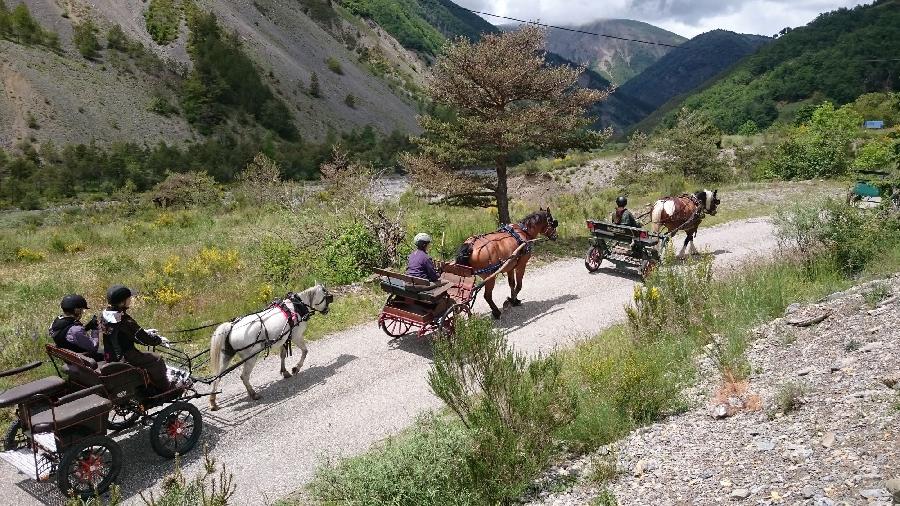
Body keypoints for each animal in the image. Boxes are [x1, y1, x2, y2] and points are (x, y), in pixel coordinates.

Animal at [209, 284, 332, 412]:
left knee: (217, 377)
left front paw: (285, 372)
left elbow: (282, 355)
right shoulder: (296, 336)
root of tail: (231, 327)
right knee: (244, 377)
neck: (296, 306)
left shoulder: (284, 338)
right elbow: (305, 351)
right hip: (251, 357)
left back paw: (213, 402)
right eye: (328, 297)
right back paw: (253, 394)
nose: (327, 310)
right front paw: (296, 368)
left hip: (226, 356)